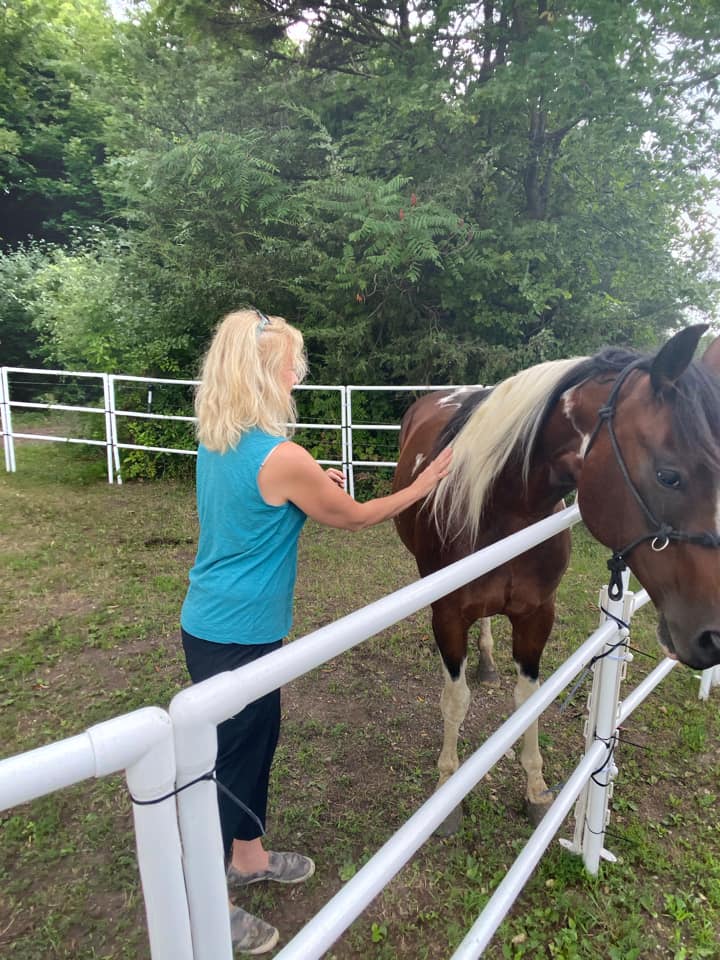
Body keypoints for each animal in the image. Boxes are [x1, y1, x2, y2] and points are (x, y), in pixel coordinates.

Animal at [390, 324, 720, 832]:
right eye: (669, 476)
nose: (713, 635)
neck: (502, 508)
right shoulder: (447, 615)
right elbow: (455, 700)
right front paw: (447, 792)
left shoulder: (536, 614)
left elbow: (529, 700)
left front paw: (536, 789)